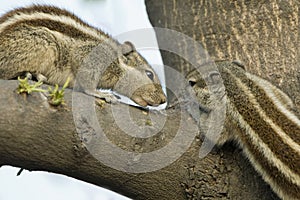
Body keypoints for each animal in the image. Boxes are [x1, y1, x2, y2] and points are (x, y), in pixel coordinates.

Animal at [0, 4, 166, 107]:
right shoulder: (89, 56)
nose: (164, 100)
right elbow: (87, 83)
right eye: (149, 74)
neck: (117, 63)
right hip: (43, 42)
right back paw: (30, 74)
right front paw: (101, 94)